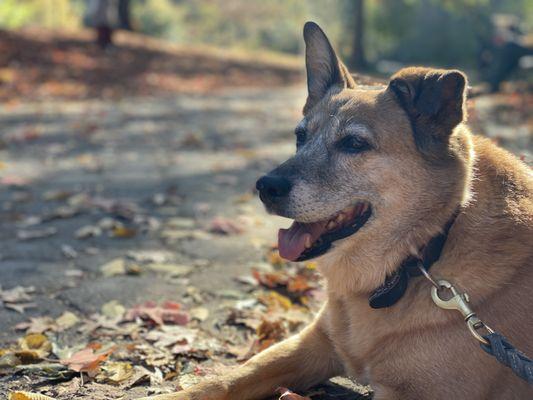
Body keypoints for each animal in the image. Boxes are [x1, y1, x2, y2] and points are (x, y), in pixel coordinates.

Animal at [141, 21, 532, 400]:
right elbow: (226, 379)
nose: (265, 187)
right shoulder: (313, 344)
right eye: (300, 136)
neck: (420, 256)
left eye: (355, 143)